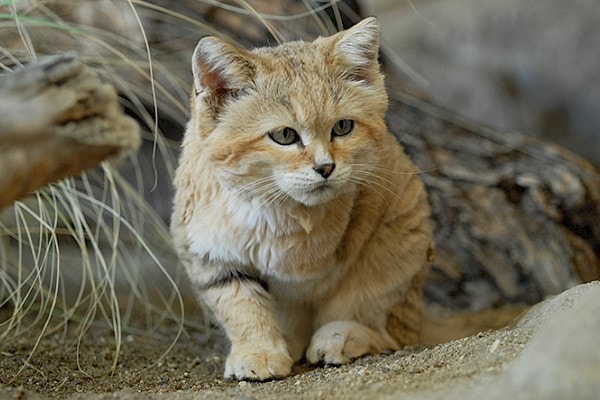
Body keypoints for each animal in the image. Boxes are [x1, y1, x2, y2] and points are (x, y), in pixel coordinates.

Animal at [171, 18, 434, 382]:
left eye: (342, 127)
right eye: (284, 135)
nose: (326, 168)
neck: (269, 204)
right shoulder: (204, 249)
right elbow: (240, 305)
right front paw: (259, 351)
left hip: (397, 250)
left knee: (392, 333)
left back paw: (340, 337)